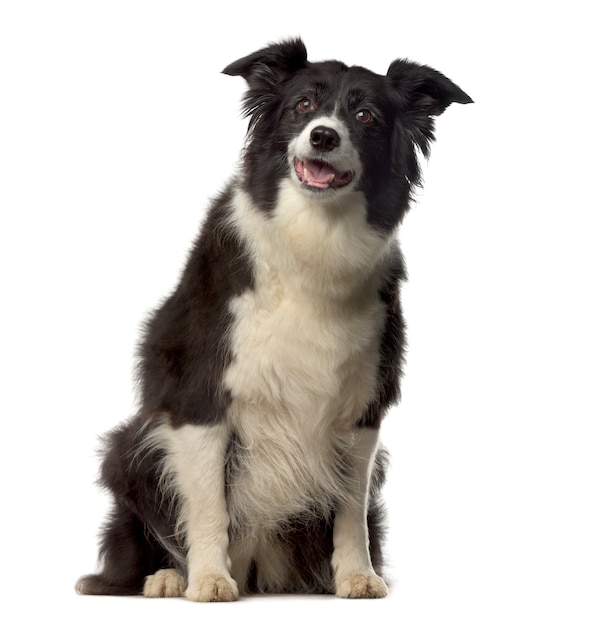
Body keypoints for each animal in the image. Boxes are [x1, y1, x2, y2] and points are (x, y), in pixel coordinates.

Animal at [77, 37, 472, 600]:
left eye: (366, 116)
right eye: (303, 105)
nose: (324, 136)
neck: (314, 241)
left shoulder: (362, 409)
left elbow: (350, 511)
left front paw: (357, 576)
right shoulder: (201, 398)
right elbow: (209, 507)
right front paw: (209, 580)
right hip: (129, 447)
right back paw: (168, 576)